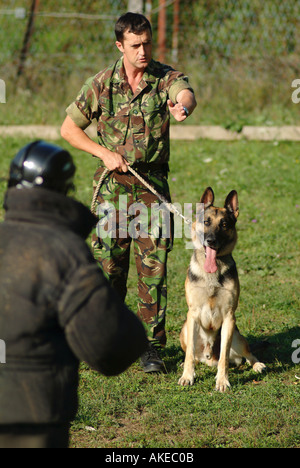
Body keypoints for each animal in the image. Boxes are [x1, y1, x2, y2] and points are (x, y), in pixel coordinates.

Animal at [178, 186, 264, 392]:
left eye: (224, 224)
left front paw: (222, 381)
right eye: (206, 222)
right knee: (193, 355)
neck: (212, 273)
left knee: (247, 354)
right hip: (185, 330)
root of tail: (209, 358)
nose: (211, 241)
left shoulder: (229, 317)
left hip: (237, 337)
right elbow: (190, 354)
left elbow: (224, 357)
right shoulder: (193, 314)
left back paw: (257, 365)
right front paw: (187, 376)